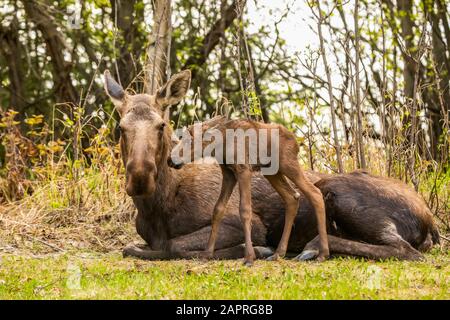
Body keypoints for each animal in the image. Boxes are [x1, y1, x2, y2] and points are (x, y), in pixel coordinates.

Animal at [169, 115, 330, 264]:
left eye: (190, 141)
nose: (170, 160)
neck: (220, 147)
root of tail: (296, 143)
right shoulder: (228, 174)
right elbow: (218, 209)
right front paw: (207, 254)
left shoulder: (244, 170)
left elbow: (245, 210)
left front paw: (249, 257)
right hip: (272, 172)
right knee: (292, 198)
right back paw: (278, 253)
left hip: (288, 164)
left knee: (315, 193)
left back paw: (322, 253)